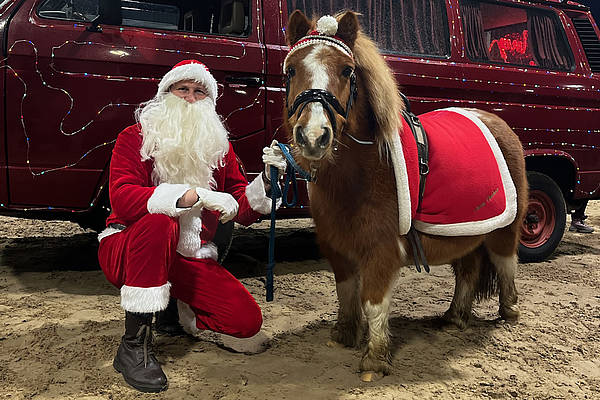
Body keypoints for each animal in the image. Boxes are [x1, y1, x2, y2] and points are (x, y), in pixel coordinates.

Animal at [282, 10, 528, 382]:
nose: (313, 136)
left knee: (505, 263)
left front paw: (375, 359)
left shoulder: (381, 250)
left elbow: (373, 301)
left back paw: (509, 312)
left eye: (347, 70)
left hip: (504, 229)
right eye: (292, 69)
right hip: (467, 232)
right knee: (468, 270)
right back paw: (454, 317)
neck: (362, 172)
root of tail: (496, 122)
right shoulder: (337, 247)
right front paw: (344, 334)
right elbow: (345, 290)